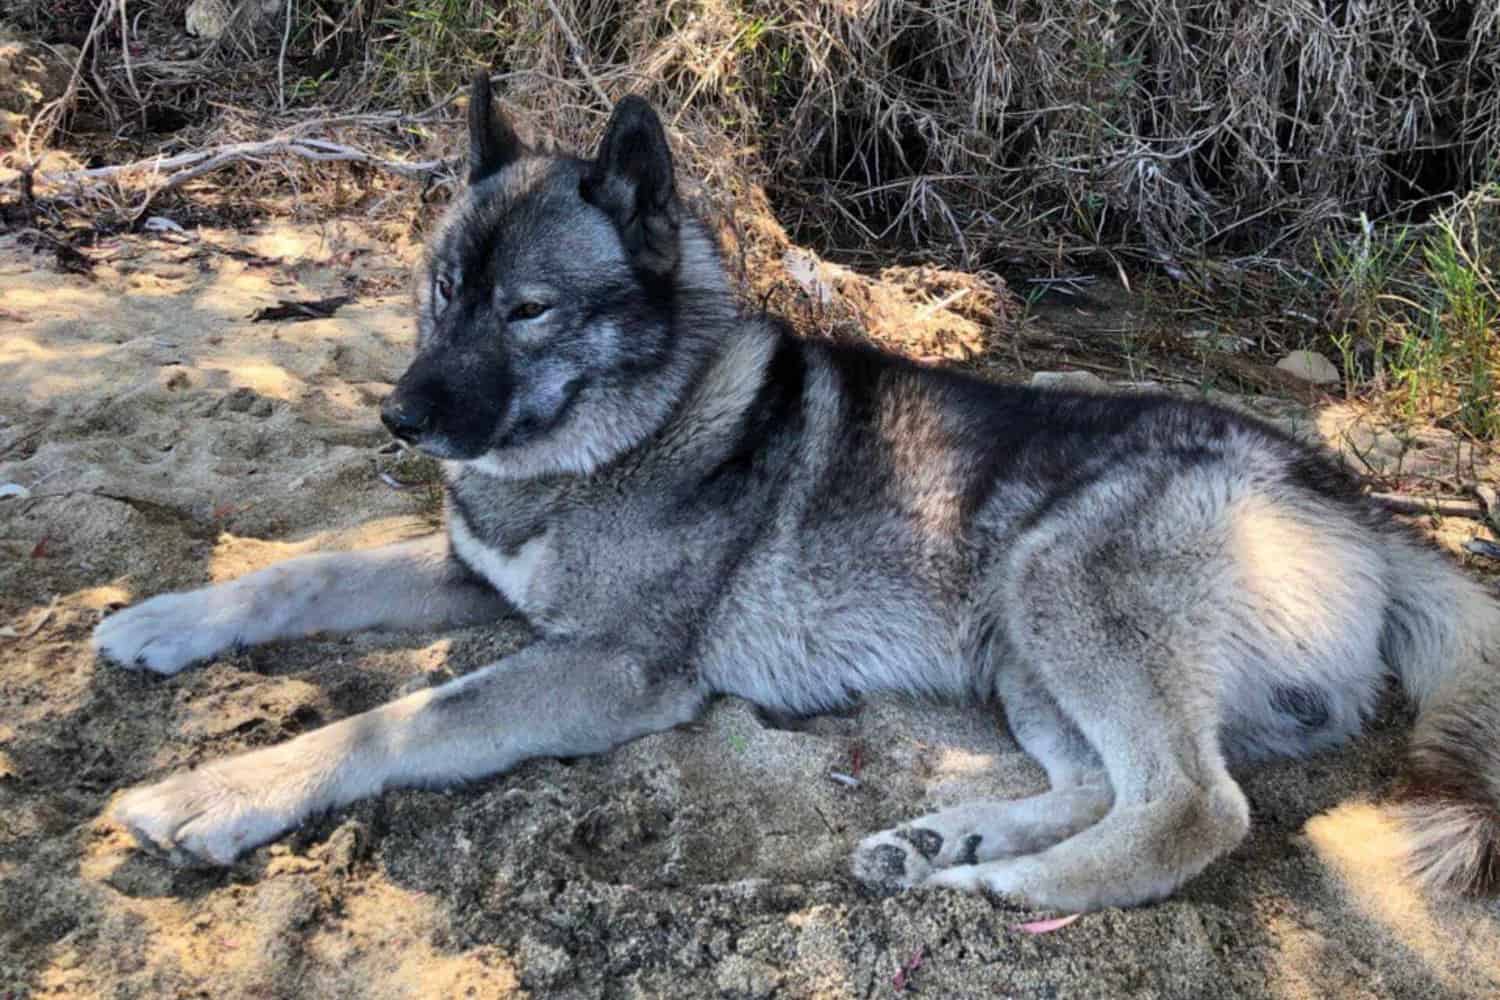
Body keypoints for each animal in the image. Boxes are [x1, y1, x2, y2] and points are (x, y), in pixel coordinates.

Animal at [93, 74, 1500, 911]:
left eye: (528, 310)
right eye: (443, 293)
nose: (401, 417)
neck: (632, 429)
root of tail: (1359, 504)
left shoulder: (607, 669)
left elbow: (394, 722)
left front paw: (213, 793)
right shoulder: (471, 576)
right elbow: (301, 570)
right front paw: (164, 620)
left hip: (1060, 587)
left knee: (1194, 805)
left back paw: (1000, 888)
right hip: (1020, 645)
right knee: (1114, 783)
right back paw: (954, 842)